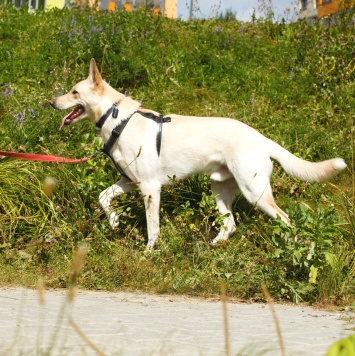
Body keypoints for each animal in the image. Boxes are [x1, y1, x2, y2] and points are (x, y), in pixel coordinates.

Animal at [50, 58, 348, 249]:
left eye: (74, 92)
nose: (51, 101)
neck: (118, 119)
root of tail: (260, 137)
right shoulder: (129, 181)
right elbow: (103, 198)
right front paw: (113, 221)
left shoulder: (150, 188)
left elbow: (152, 229)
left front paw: (148, 253)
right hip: (221, 190)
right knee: (230, 225)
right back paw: (211, 248)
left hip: (255, 192)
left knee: (286, 220)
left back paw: (291, 250)